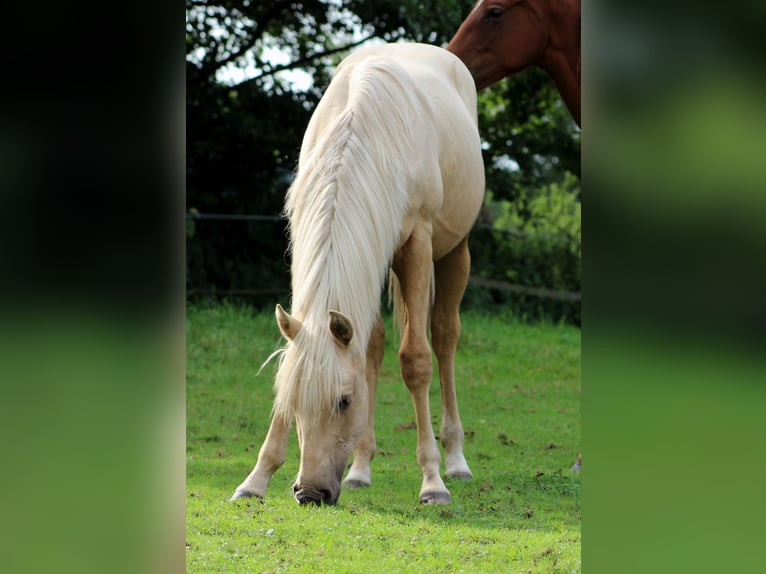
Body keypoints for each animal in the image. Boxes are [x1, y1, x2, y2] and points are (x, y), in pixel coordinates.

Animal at [232, 42, 486, 506]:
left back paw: (456, 460)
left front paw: (432, 481)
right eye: (294, 401)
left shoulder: (417, 242)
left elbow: (416, 360)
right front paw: (256, 479)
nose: (310, 492)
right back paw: (360, 469)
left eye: (344, 402)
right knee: (373, 345)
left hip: (454, 250)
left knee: (444, 338)